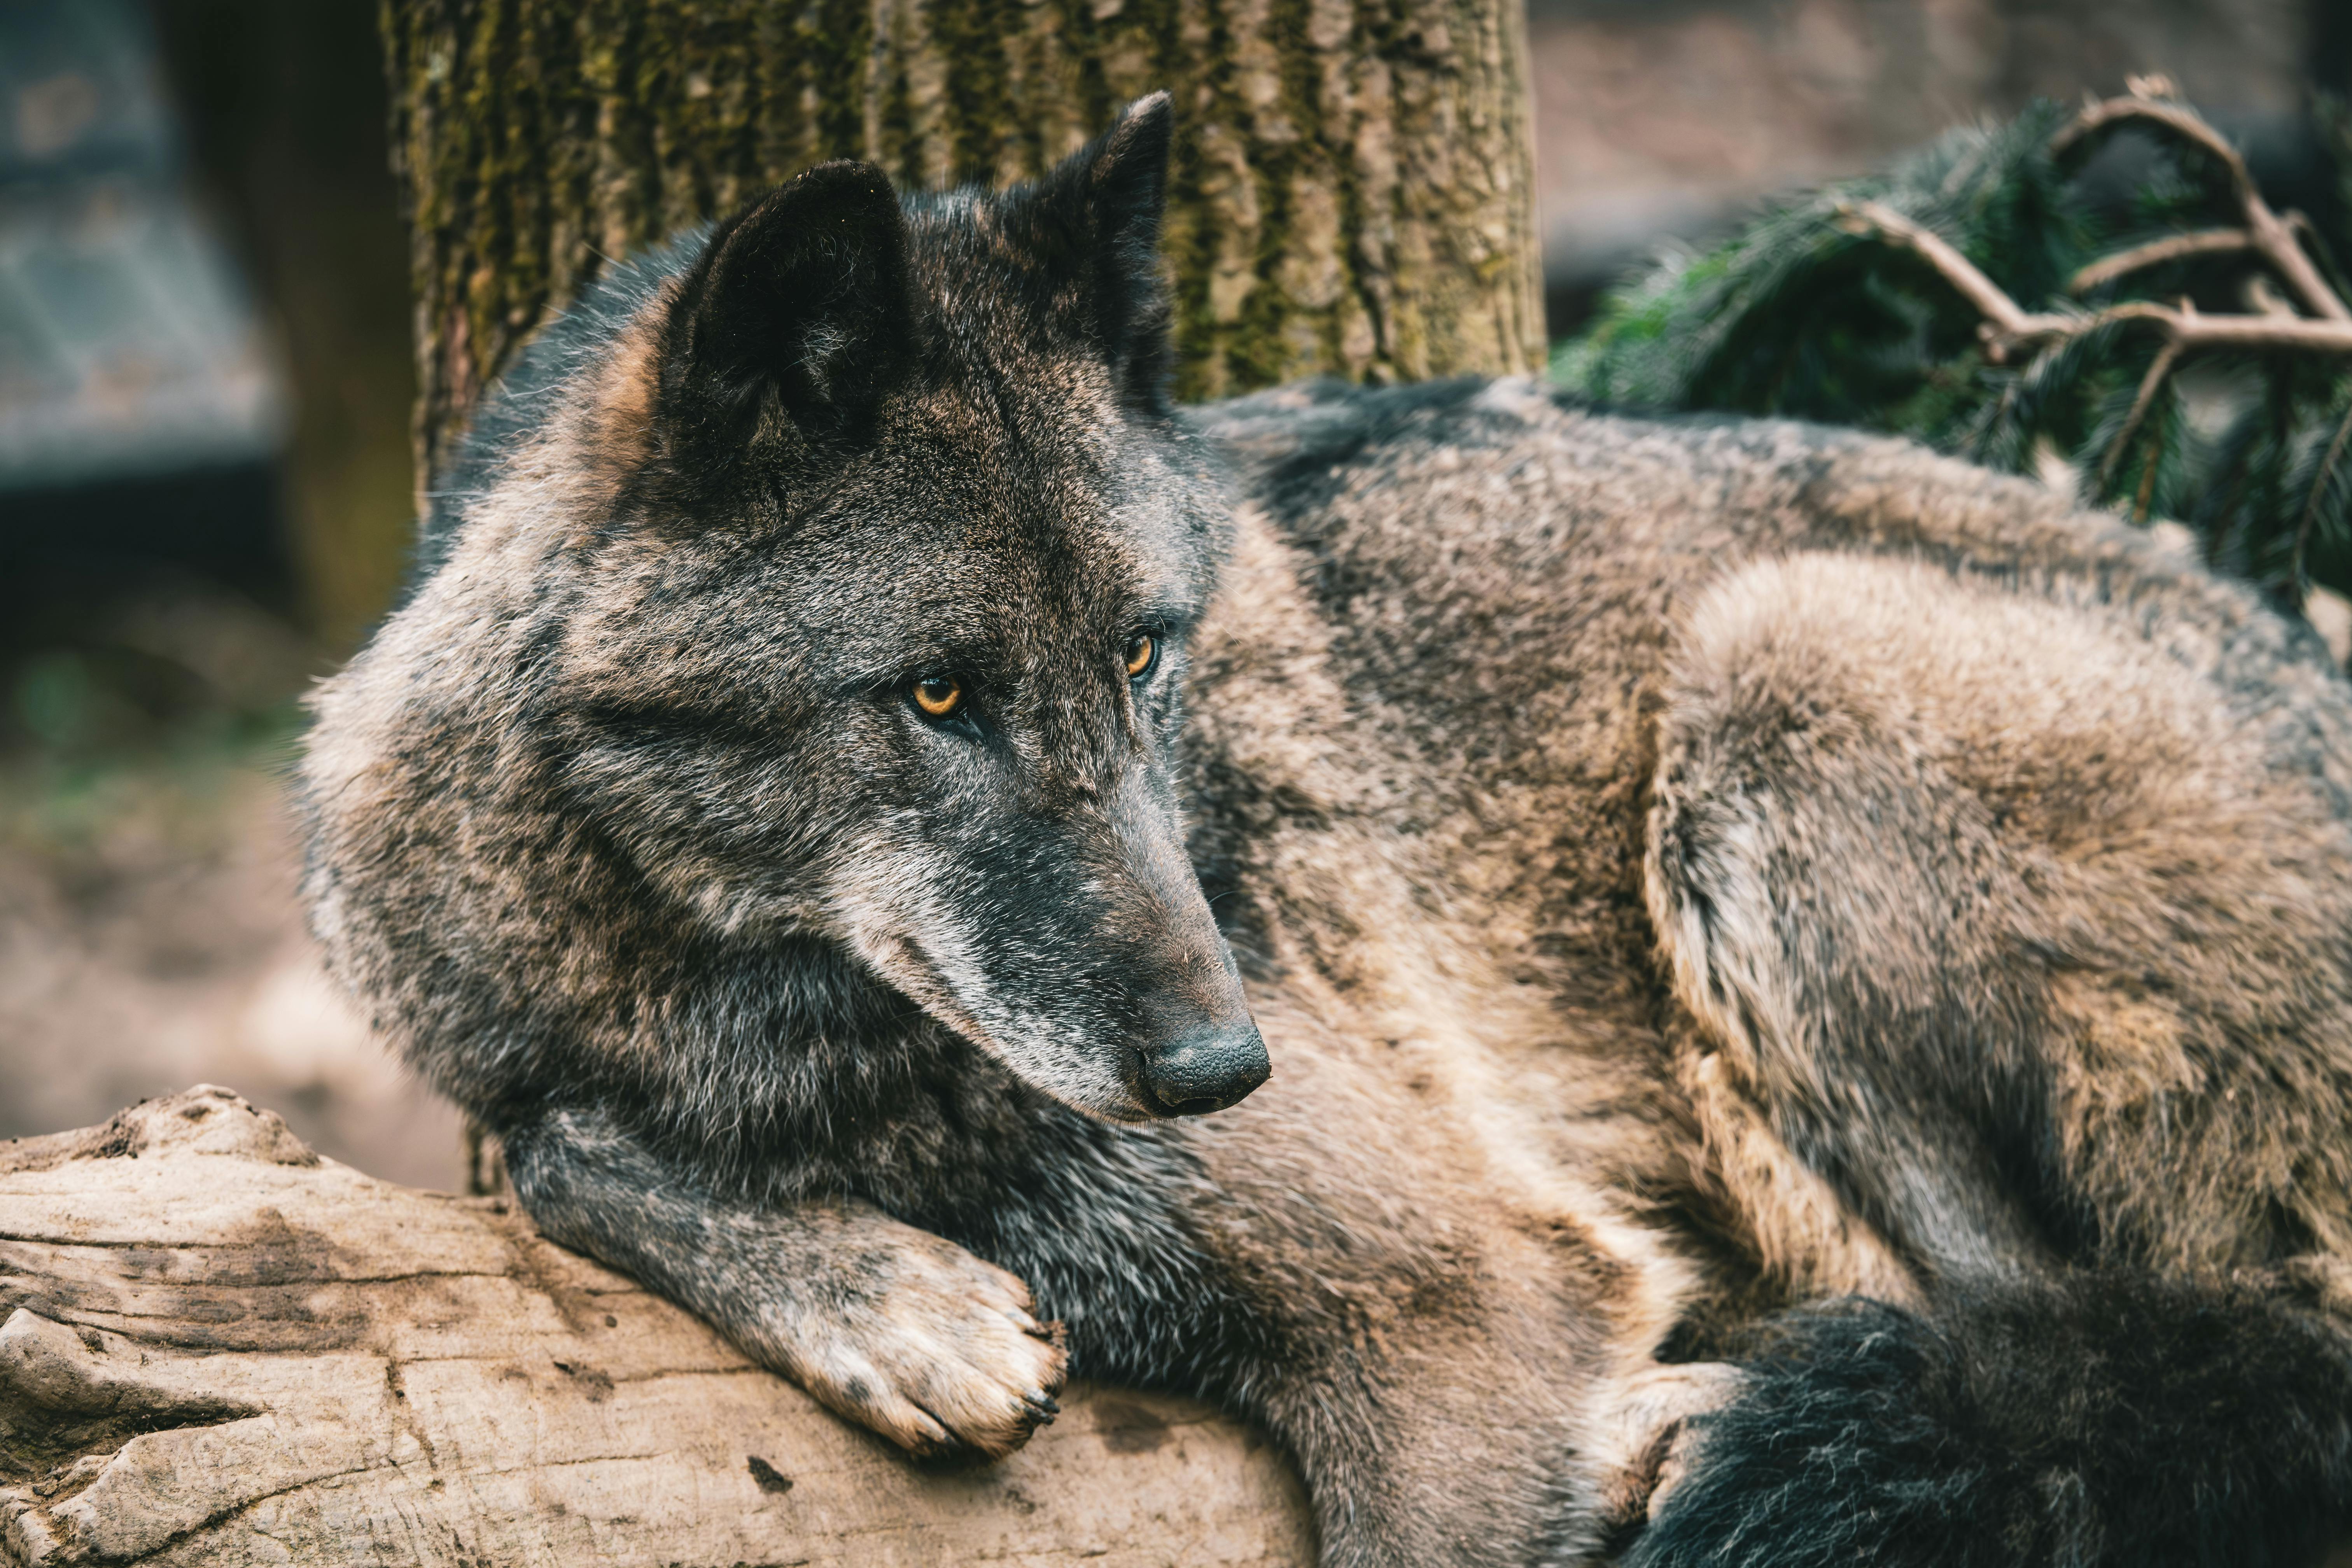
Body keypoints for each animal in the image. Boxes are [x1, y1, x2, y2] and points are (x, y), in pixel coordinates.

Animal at [300, 94, 2352, 1565]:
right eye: (939, 696)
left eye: (1144, 653)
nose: (1227, 1068)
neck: (741, 1008)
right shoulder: (528, 1060)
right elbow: (557, 1148)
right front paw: (892, 1297)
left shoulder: (1470, 1296)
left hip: (1780, 672)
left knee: (2112, 1330)